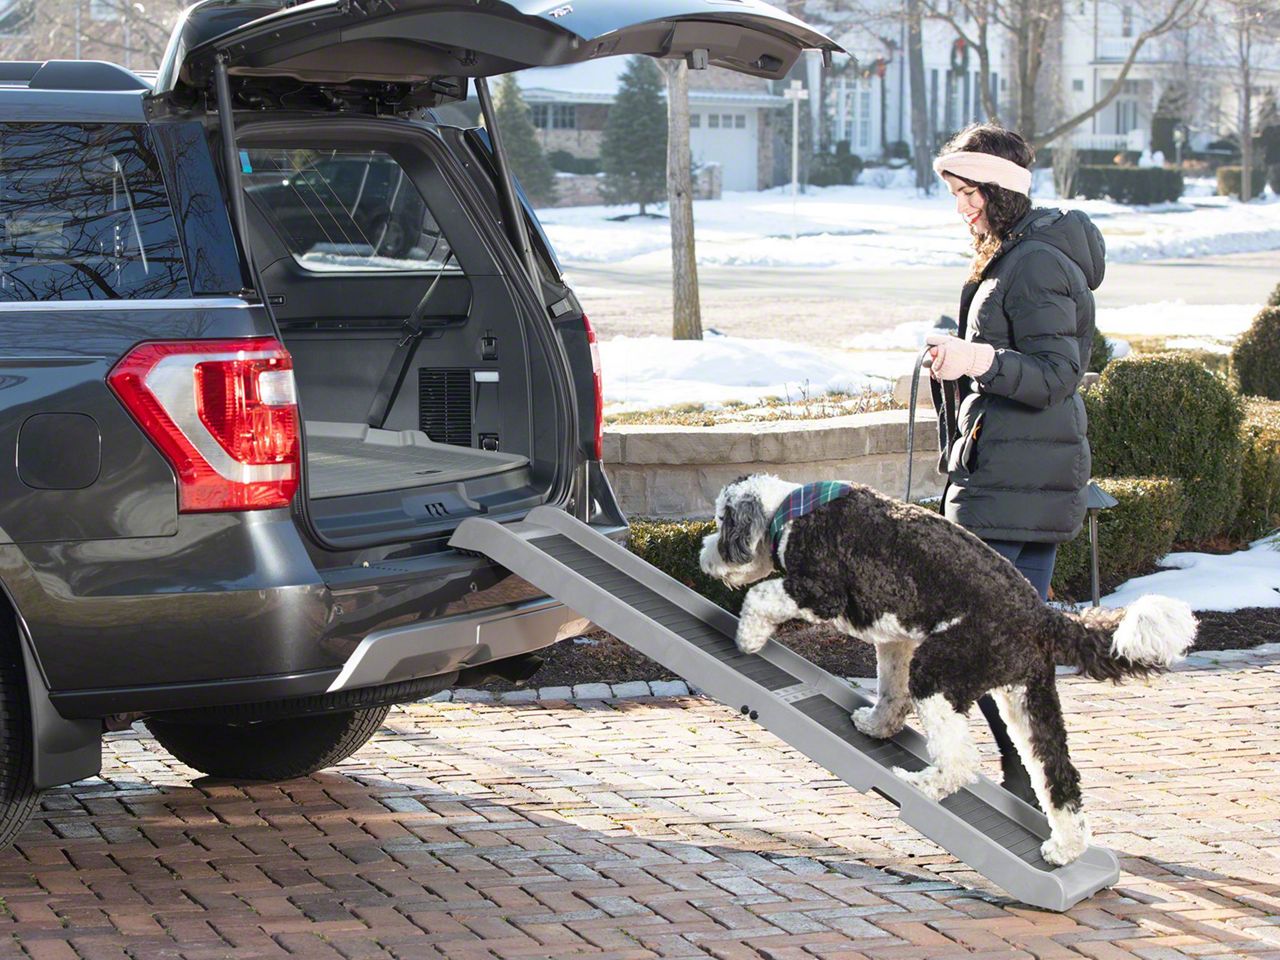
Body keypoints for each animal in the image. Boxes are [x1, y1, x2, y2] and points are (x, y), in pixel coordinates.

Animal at [696, 478, 1192, 870]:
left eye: (721, 522)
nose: (703, 556)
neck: (789, 511)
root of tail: (1041, 615)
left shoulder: (821, 592)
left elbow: (762, 596)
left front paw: (748, 636)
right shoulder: (896, 640)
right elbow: (890, 692)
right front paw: (876, 725)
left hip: (940, 673)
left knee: (960, 762)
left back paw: (919, 783)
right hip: (1030, 700)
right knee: (1059, 777)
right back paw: (1064, 848)